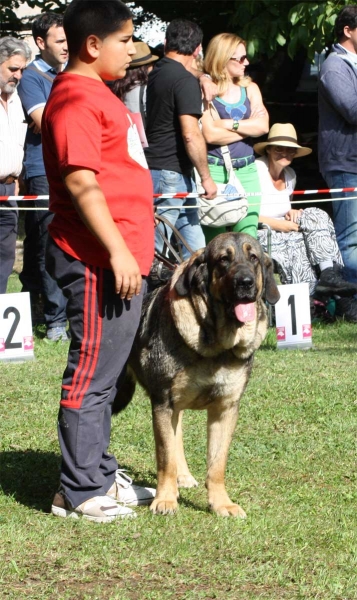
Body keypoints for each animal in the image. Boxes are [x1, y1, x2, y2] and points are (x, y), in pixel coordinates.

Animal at [113, 232, 278, 516]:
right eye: (223, 259)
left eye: (254, 258)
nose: (245, 282)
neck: (218, 347)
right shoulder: (164, 403)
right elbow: (165, 457)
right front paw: (165, 500)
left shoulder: (225, 409)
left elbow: (217, 464)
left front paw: (221, 503)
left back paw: (184, 476)